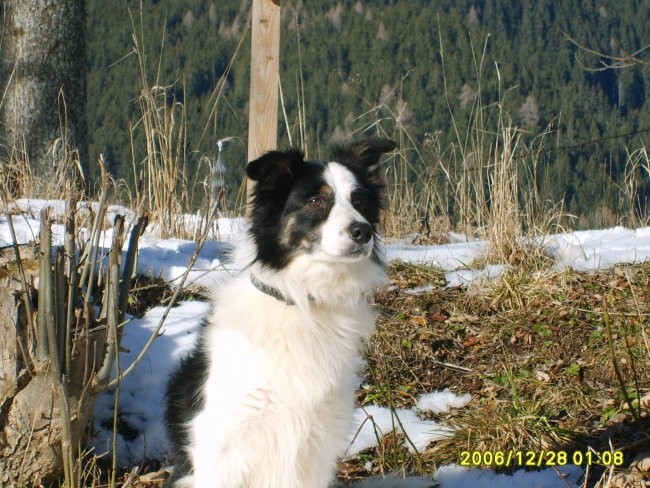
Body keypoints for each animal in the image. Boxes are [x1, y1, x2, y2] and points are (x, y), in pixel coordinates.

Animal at [165, 138, 432, 488]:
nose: (362, 232)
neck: (303, 300)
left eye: (359, 200)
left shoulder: (317, 444)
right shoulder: (220, 449)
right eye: (316, 200)